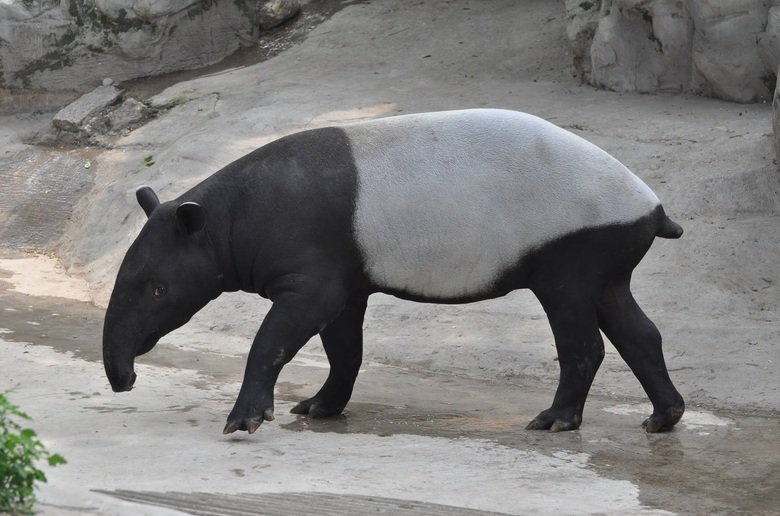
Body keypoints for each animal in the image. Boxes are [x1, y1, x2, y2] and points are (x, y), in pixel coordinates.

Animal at [103, 109, 685, 435]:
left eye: (157, 289)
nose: (123, 380)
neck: (232, 219)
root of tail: (653, 208)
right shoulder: (346, 277)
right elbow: (343, 348)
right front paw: (318, 407)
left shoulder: (314, 268)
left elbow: (275, 338)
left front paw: (245, 419)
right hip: (604, 258)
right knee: (639, 332)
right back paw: (663, 418)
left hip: (570, 252)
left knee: (583, 341)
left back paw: (555, 420)